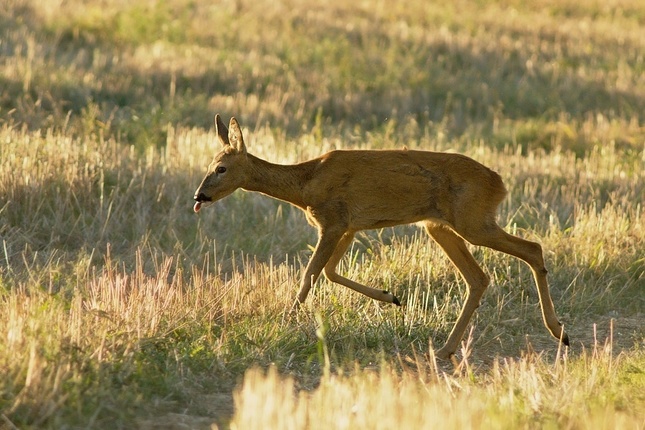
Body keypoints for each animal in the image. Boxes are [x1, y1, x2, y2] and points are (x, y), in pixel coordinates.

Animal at [192, 115, 568, 360]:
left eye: (221, 168)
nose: (199, 195)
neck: (305, 185)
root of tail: (499, 183)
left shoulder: (333, 221)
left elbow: (310, 275)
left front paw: (284, 324)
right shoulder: (348, 226)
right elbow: (329, 272)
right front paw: (391, 297)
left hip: (472, 220)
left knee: (532, 248)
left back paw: (559, 332)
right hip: (440, 225)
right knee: (478, 277)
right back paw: (446, 349)